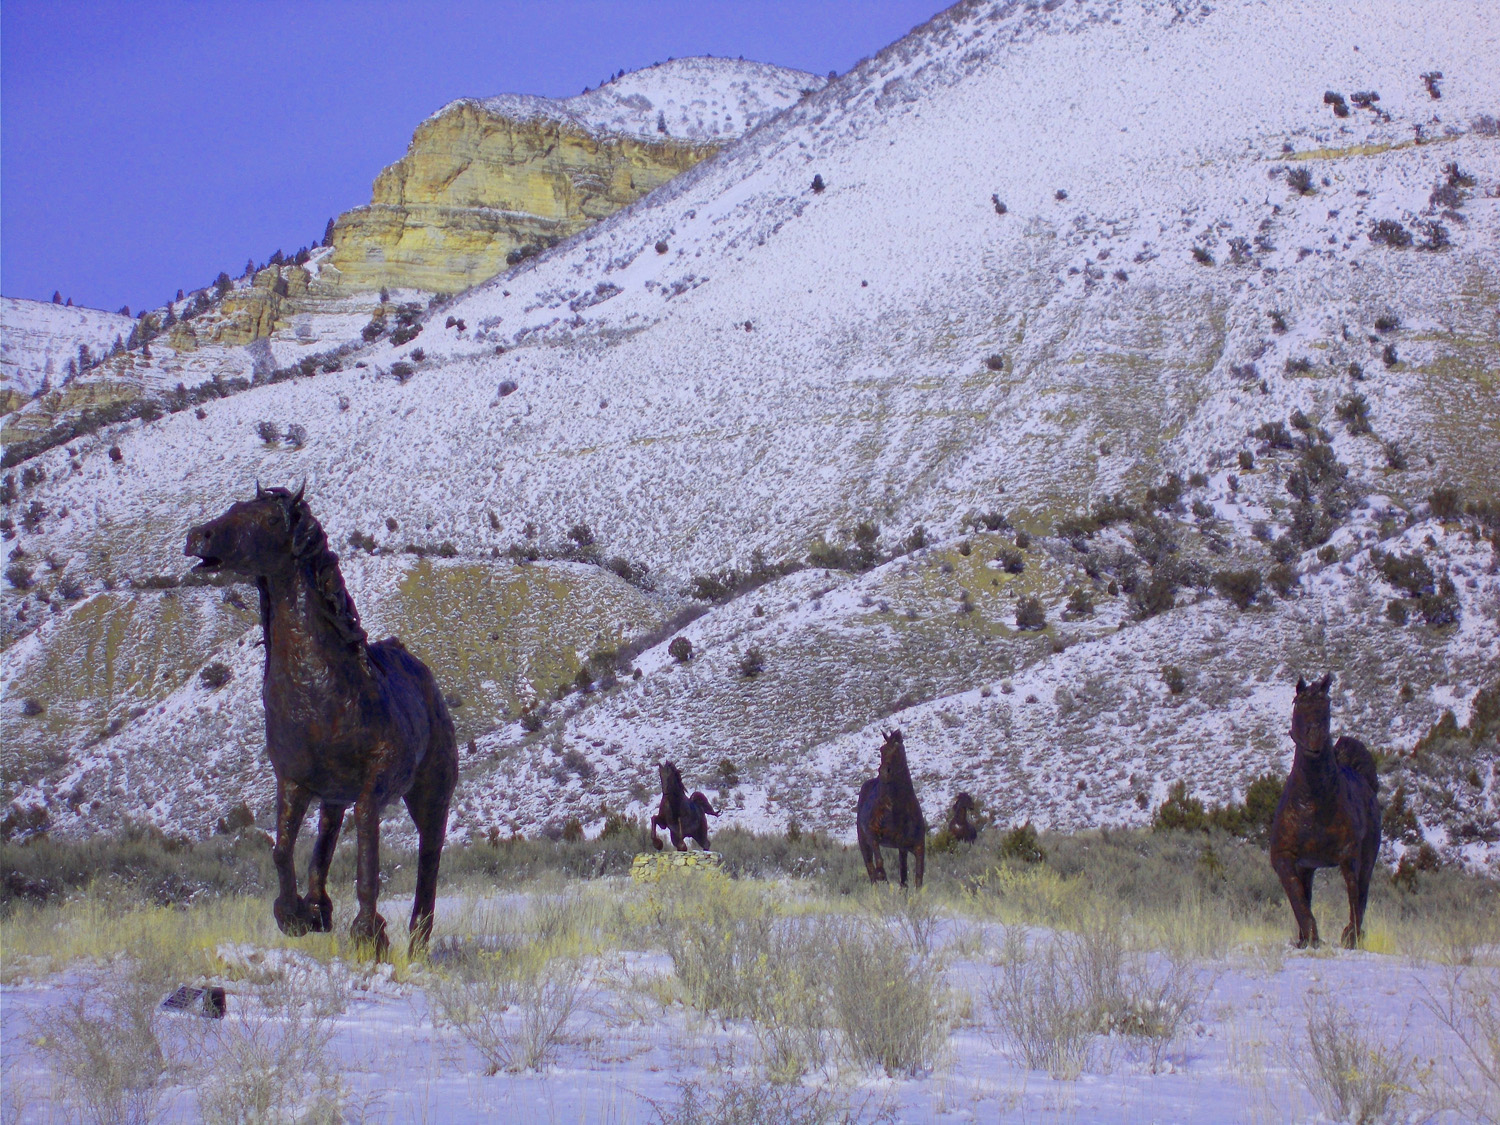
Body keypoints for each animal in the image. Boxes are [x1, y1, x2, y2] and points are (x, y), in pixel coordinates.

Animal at [186, 485, 457, 957]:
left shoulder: (375, 782)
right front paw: (295, 915)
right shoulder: (294, 782)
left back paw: (416, 942)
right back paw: (319, 906)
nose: (198, 537)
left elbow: (367, 855)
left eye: (269, 520)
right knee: (326, 837)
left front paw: (369, 934)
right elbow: (283, 850)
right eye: (235, 508)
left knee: (429, 857)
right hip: (333, 794)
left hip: (430, 795)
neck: (320, 689)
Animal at [856, 729, 927, 888]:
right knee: (871, 872)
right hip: (864, 844)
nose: (884, 772)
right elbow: (879, 862)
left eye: (898, 749)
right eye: (882, 749)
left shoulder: (915, 846)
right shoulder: (873, 835)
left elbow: (916, 878)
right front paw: (883, 876)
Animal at [1268, 674, 1381, 948]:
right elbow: (1298, 900)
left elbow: (1353, 897)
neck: (1313, 802)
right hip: (1308, 866)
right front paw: (1310, 937)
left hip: (1368, 858)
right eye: (1298, 703)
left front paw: (1350, 936)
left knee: (1362, 892)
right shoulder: (1284, 857)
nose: (1315, 737)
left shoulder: (1349, 857)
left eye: (1327, 704)